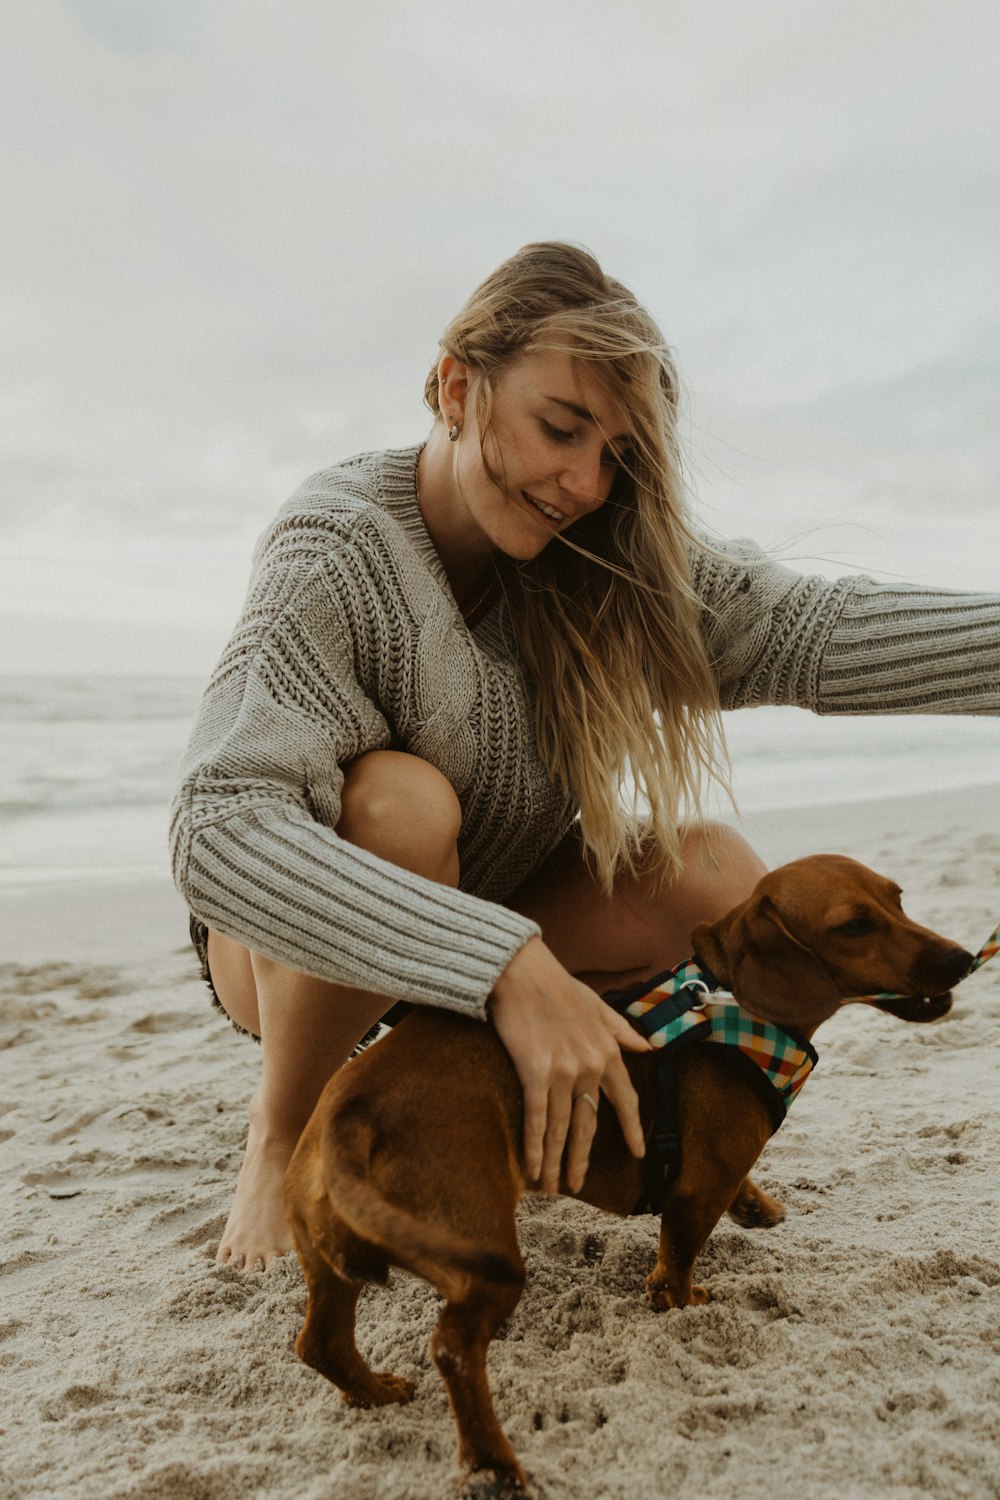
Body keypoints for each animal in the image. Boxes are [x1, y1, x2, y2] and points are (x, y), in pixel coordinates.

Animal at [284, 858, 971, 1488]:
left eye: (897, 898)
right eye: (852, 926)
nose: (964, 959)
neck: (735, 1007)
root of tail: (351, 1116)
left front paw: (757, 1206)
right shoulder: (697, 1193)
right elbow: (675, 1268)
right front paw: (684, 1303)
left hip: (330, 1265)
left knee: (319, 1344)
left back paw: (375, 1391)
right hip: (482, 1262)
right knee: (452, 1351)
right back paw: (493, 1464)